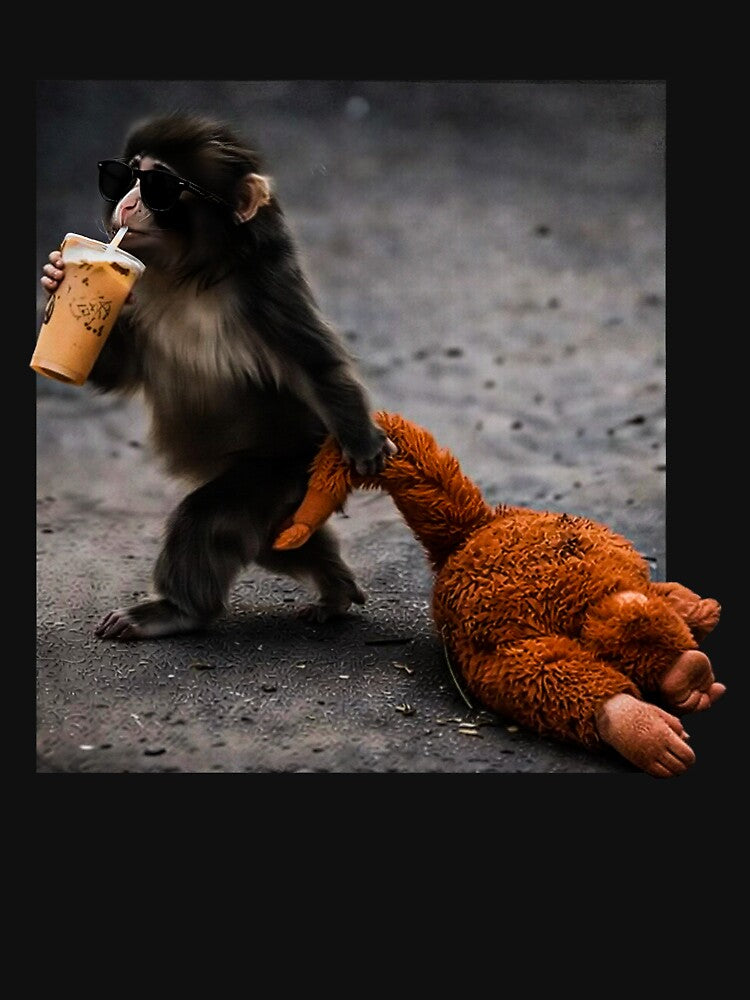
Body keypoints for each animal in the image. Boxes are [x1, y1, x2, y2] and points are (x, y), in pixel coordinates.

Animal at [39, 112, 394, 640]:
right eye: (123, 177)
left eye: (159, 186)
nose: (127, 203)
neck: (186, 275)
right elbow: (120, 368)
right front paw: (54, 276)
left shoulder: (264, 293)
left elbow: (316, 366)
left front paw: (365, 443)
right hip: (287, 494)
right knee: (275, 541)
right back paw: (336, 589)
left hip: (284, 467)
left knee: (211, 520)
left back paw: (178, 611)